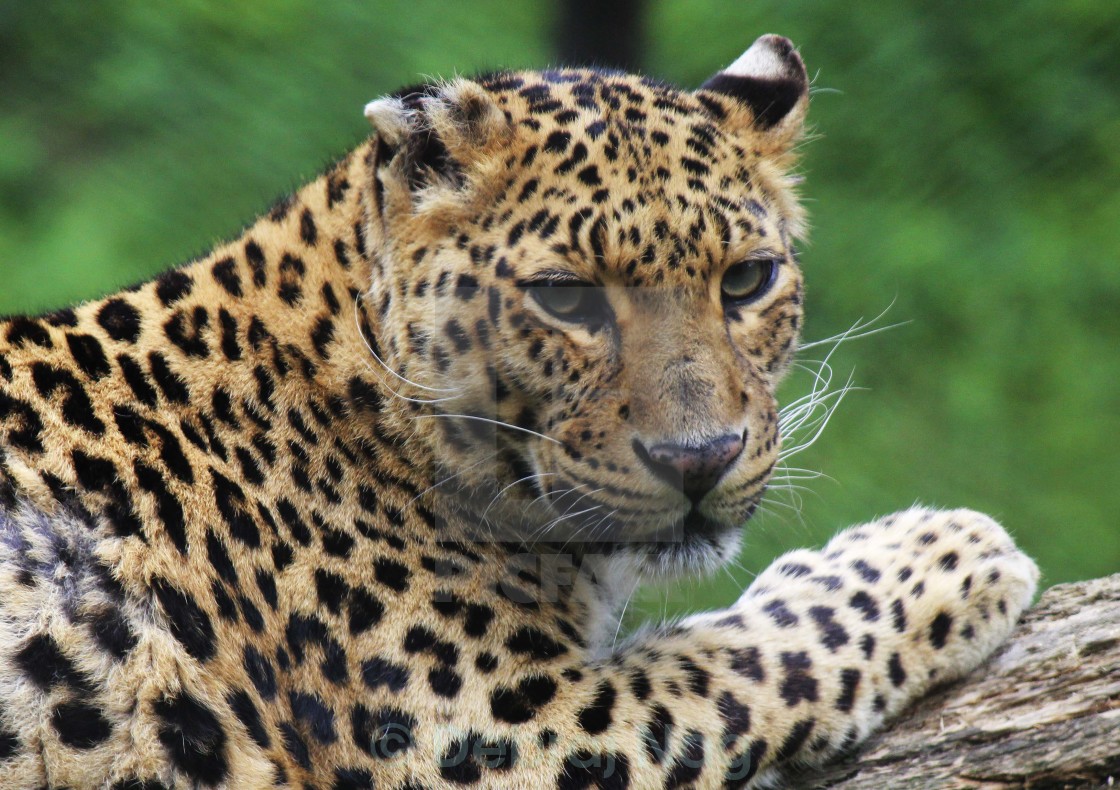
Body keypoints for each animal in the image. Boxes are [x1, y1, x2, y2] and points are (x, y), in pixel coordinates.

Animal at [0, 33, 1039, 784]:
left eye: (747, 281)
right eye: (567, 298)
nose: (700, 458)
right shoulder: (487, 731)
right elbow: (754, 652)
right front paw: (946, 554)